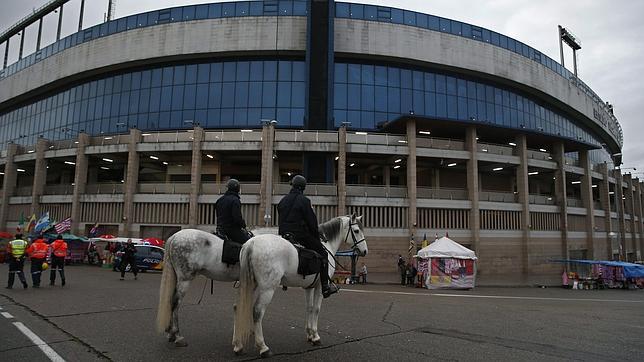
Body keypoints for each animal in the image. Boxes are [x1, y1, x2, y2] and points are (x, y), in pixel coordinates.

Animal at [231, 214, 368, 358]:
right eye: (357, 231)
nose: (365, 251)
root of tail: (251, 243)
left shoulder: (309, 287)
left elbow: (309, 308)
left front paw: (309, 334)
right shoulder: (320, 287)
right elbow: (316, 309)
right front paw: (316, 336)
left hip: (251, 284)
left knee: (238, 307)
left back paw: (238, 345)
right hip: (267, 289)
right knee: (257, 312)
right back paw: (263, 347)